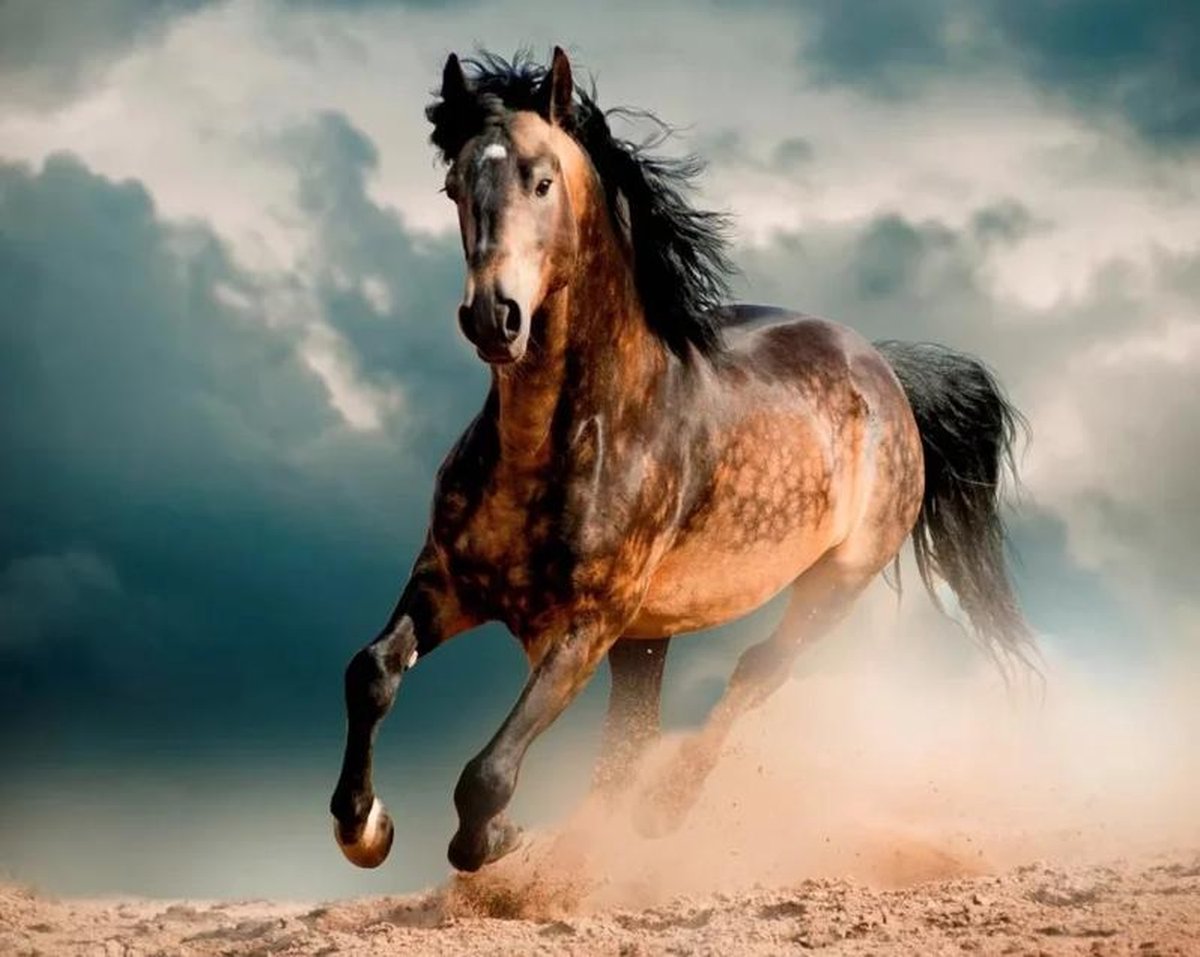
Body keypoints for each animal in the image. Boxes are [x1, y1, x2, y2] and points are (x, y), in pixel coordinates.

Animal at [329, 47, 1032, 874]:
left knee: (755, 671)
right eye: (454, 186)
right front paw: (364, 826)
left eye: (542, 180)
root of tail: (886, 370)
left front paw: (496, 839)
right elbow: (372, 671)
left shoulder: (588, 622)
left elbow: (488, 772)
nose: (493, 318)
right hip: (650, 635)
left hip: (833, 583)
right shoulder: (448, 580)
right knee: (630, 739)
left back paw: (662, 809)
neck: (558, 442)